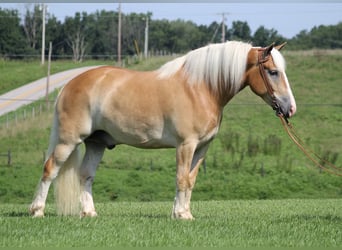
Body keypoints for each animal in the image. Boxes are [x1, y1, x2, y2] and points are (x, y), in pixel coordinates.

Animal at [30, 41, 296, 219]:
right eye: (273, 72)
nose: (290, 108)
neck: (201, 88)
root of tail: (69, 85)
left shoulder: (202, 148)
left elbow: (190, 180)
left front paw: (184, 212)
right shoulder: (186, 145)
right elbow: (181, 179)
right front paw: (181, 215)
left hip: (96, 143)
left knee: (86, 175)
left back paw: (89, 213)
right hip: (68, 141)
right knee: (49, 170)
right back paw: (37, 211)